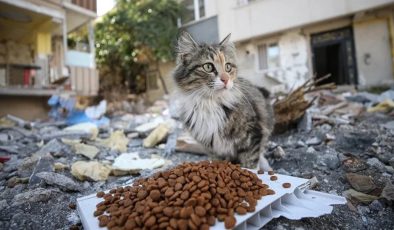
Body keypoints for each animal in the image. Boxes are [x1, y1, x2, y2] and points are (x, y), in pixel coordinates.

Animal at [172, 31, 274, 171]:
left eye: (228, 67)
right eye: (208, 67)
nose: (226, 79)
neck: (209, 103)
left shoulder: (252, 134)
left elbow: (251, 163)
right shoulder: (213, 148)